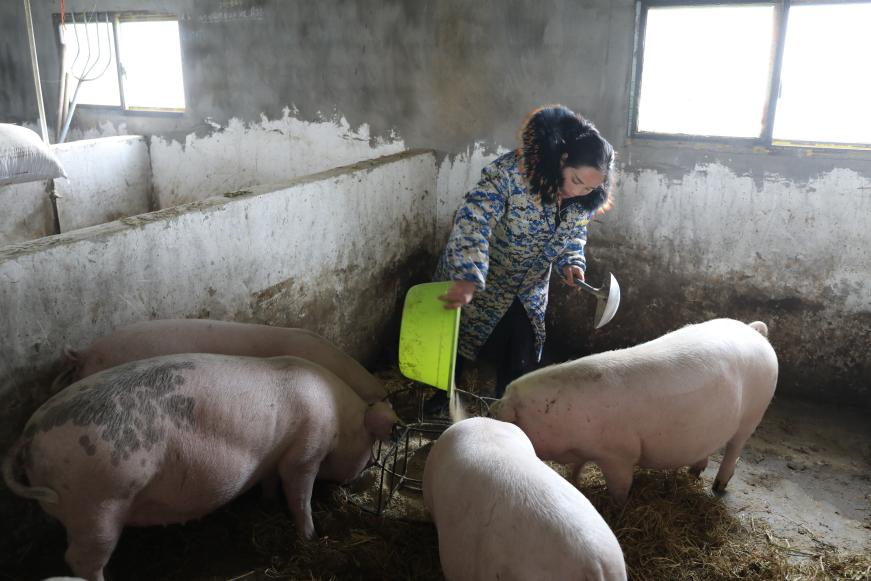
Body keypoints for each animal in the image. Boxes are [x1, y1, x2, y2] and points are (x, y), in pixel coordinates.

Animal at [4, 353, 400, 581]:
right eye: (369, 446)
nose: (362, 477)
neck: (339, 419)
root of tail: (28, 436)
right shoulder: (304, 452)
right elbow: (299, 494)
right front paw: (312, 537)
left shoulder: (273, 457)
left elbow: (271, 481)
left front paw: (268, 504)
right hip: (98, 503)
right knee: (80, 559)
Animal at [492, 318, 778, 503]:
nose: (495, 408)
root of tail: (755, 331)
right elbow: (575, 471)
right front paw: (574, 484)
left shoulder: (619, 453)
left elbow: (620, 487)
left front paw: (616, 507)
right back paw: (694, 473)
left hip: (754, 414)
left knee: (734, 449)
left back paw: (718, 487)